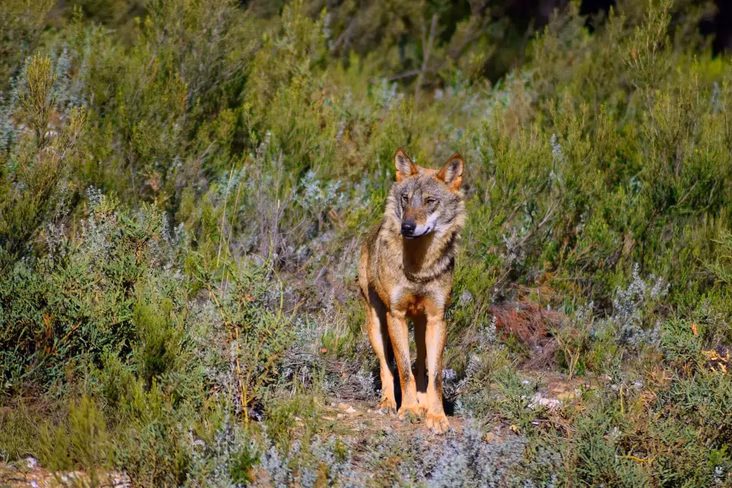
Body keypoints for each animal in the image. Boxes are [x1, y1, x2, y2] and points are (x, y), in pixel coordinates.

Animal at [358, 148, 465, 434]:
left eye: (430, 201)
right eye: (406, 199)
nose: (406, 227)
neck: (419, 269)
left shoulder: (438, 318)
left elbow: (434, 375)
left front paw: (436, 415)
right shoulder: (395, 315)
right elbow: (403, 369)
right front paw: (407, 410)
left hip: (421, 324)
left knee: (422, 367)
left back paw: (422, 401)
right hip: (377, 324)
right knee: (387, 367)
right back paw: (388, 403)